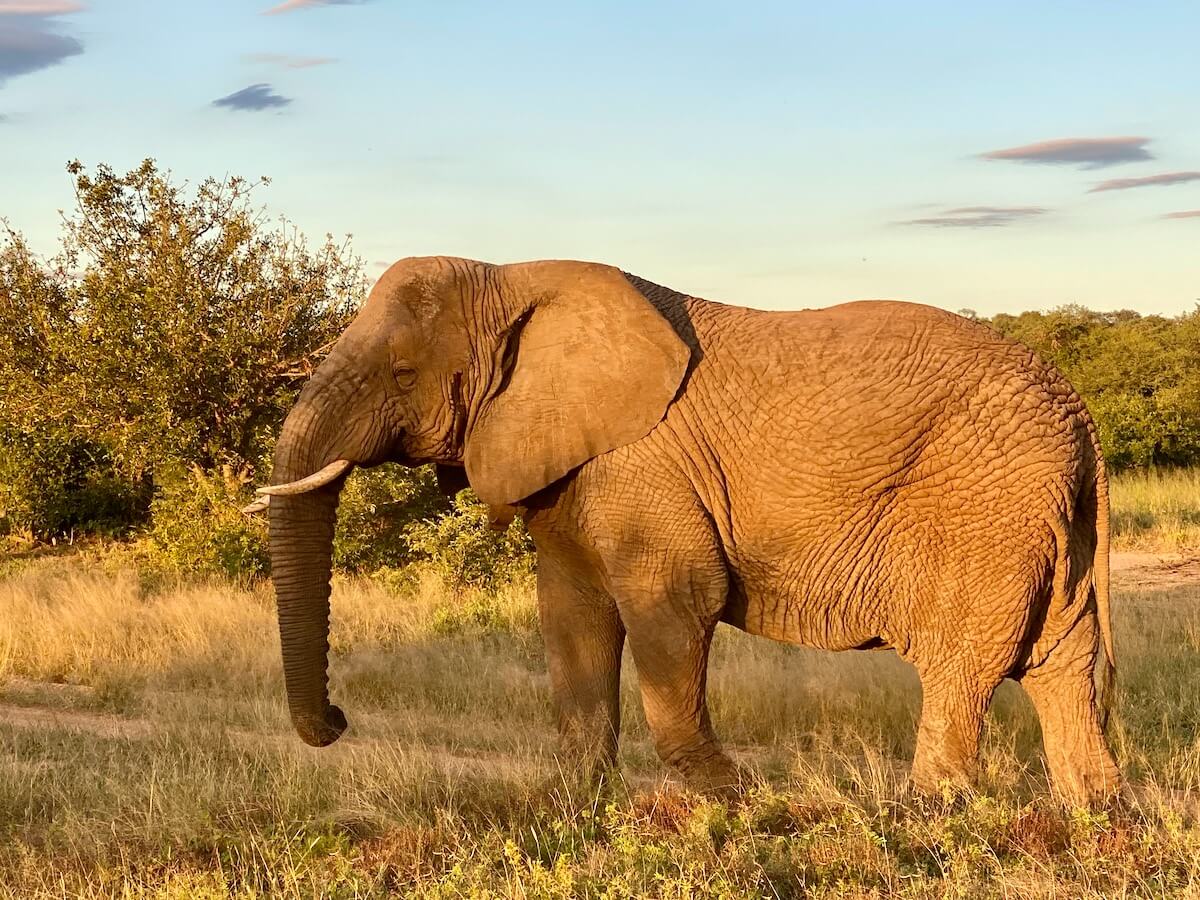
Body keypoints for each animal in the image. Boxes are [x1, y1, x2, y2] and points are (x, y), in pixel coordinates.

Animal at [253, 256, 1121, 805]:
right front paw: (572, 804)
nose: (337, 722)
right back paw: (1094, 812)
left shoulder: (643, 465)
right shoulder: (572, 468)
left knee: (963, 659)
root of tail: (1082, 413)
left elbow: (673, 607)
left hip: (989, 504)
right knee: (1062, 657)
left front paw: (733, 796)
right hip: (1042, 513)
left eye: (402, 374)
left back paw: (927, 815)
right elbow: (571, 618)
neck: (506, 277)